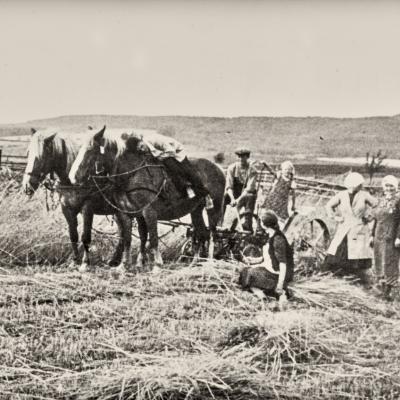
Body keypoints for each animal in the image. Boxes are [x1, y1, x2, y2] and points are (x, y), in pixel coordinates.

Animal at [22, 128, 125, 272]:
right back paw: (115, 260)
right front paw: (74, 261)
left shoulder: (87, 208)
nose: (27, 186)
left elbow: (85, 236)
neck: (73, 182)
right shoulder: (67, 208)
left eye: (41, 156)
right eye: (27, 153)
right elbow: (73, 235)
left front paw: (85, 263)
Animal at [69, 127, 225, 272]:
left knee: (212, 234)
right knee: (201, 234)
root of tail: (219, 169)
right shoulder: (125, 214)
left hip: (214, 209)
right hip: (196, 210)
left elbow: (153, 239)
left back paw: (210, 263)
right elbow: (128, 239)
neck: (131, 175)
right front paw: (124, 265)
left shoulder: (149, 212)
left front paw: (157, 265)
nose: (73, 177)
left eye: (90, 150)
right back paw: (194, 263)